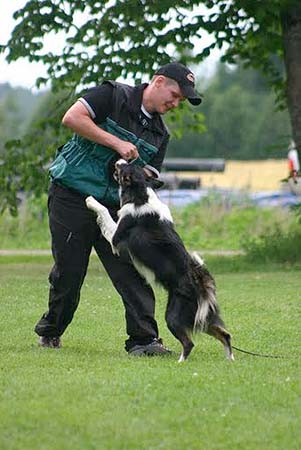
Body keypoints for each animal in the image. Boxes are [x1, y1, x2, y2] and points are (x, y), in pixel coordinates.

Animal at [85, 158, 233, 362]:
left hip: (174, 316)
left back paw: (180, 362)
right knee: (225, 334)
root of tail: (201, 285)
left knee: (189, 343)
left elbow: (105, 212)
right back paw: (230, 360)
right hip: (200, 318)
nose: (120, 159)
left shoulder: (116, 239)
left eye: (124, 168)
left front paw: (91, 201)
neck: (141, 194)